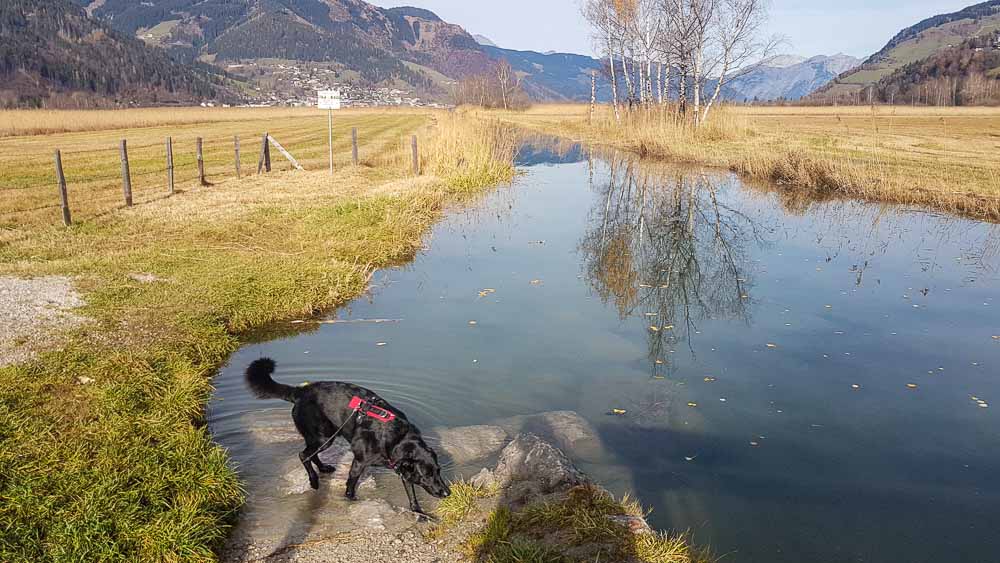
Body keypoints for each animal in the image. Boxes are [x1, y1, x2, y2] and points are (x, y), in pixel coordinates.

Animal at [244, 360, 452, 516]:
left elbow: (412, 495)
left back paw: (323, 468)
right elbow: (351, 484)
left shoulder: (402, 468)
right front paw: (351, 499)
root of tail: (300, 391)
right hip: (323, 437)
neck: (396, 437)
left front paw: (419, 512)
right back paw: (314, 480)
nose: (447, 493)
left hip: (325, 436)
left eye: (439, 471)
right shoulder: (359, 462)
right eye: (427, 475)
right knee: (303, 455)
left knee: (311, 454)